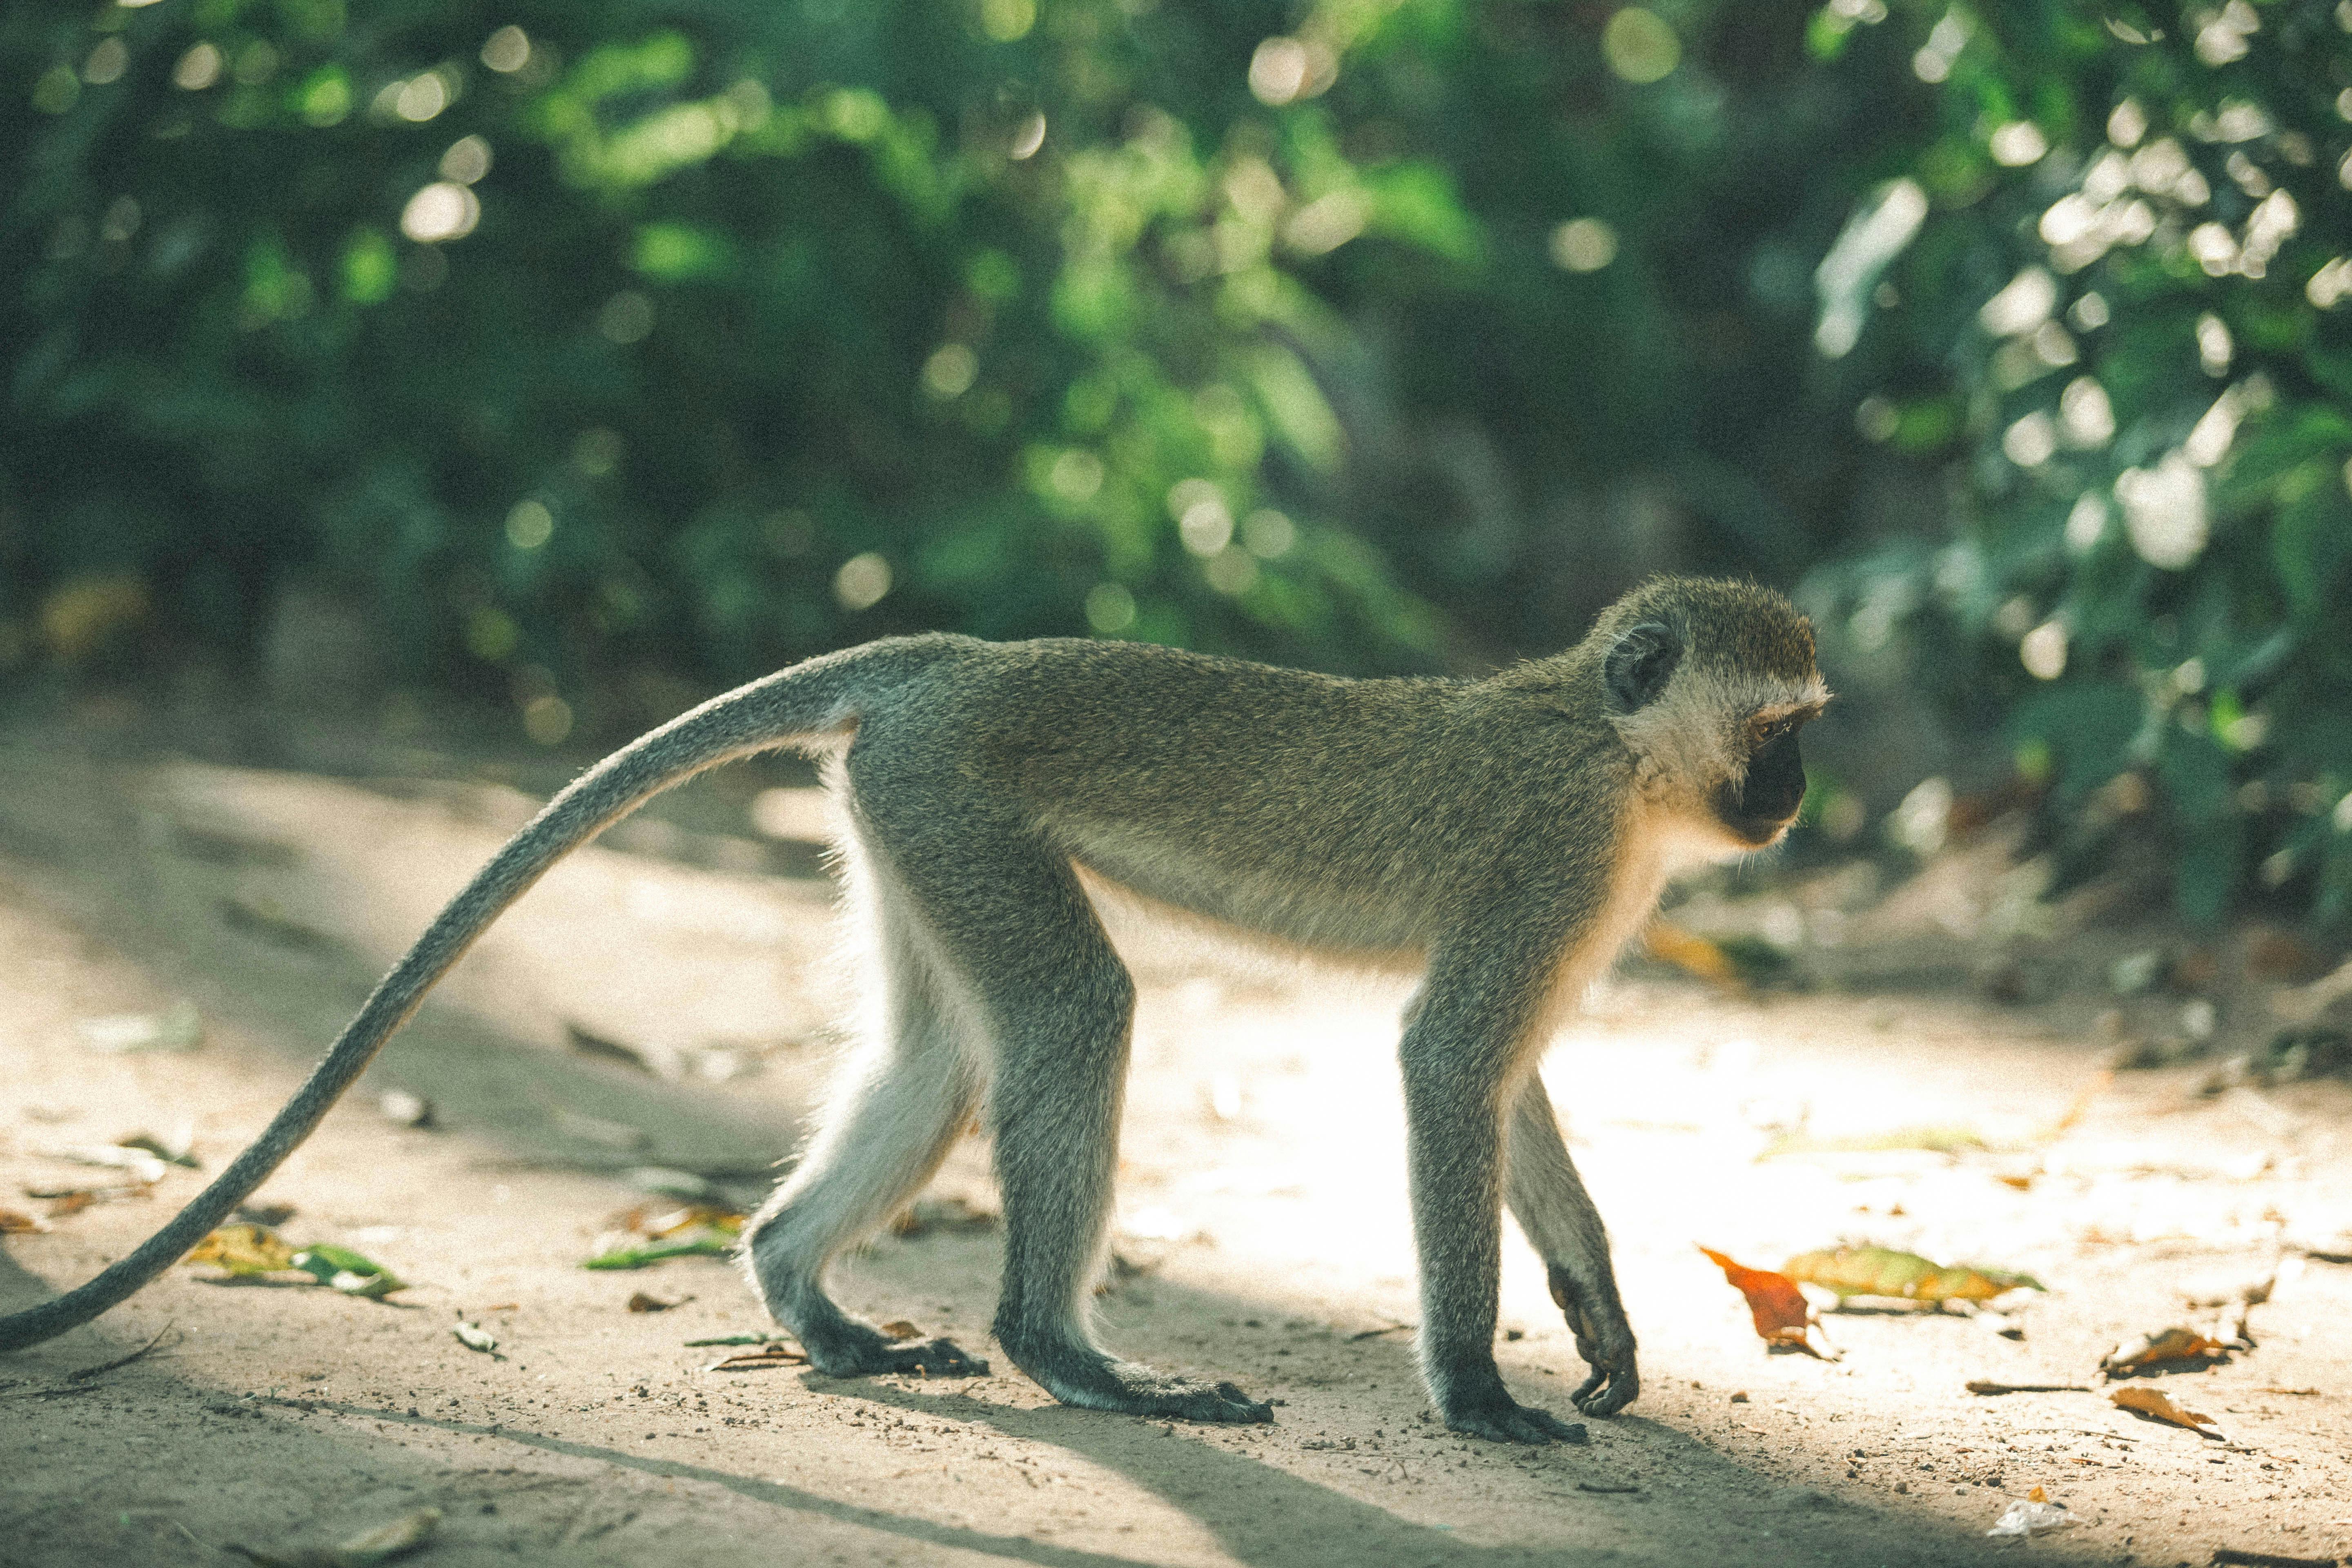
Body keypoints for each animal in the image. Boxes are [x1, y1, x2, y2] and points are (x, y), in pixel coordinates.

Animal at [0, 574, 1826, 1444]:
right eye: (1782, 726)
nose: (1797, 803)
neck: (1614, 751)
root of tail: (955, 658)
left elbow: (1506, 1086)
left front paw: (1597, 1320)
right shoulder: (1559, 853)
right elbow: (1452, 1062)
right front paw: (1475, 1391)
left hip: (909, 813)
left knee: (950, 1051)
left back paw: (806, 1295)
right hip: (954, 793)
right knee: (1077, 1014)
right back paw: (1065, 1357)